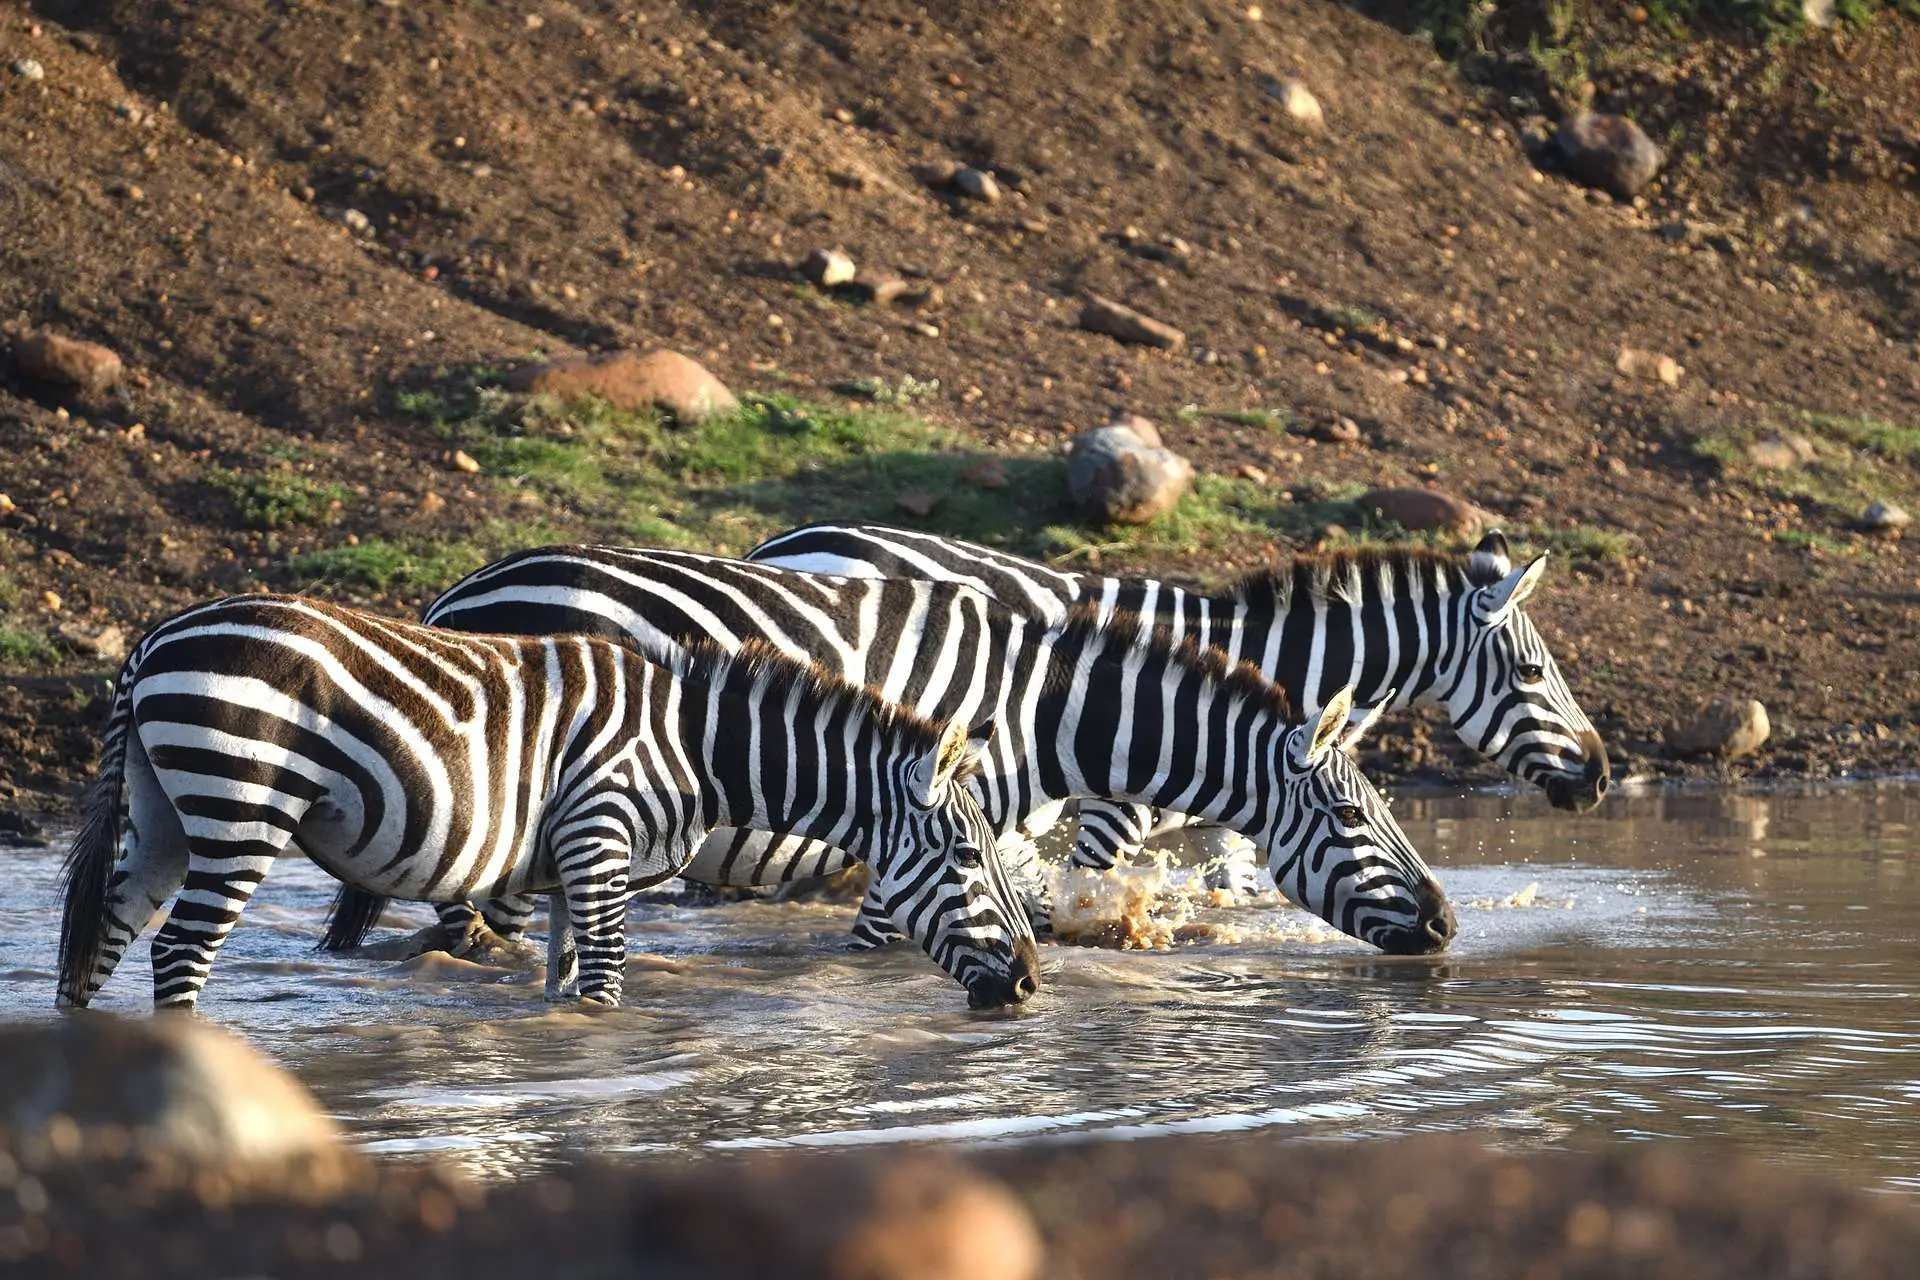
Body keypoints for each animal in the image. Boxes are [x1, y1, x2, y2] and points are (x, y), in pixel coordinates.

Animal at [56, 594, 1036, 1013]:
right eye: (966, 856)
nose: (1030, 983)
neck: (695, 743)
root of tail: (155, 638)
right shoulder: (600, 842)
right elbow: (604, 984)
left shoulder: (568, 868)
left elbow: (564, 986)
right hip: (239, 807)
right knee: (179, 953)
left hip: (164, 817)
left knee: (100, 942)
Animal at [322, 545, 1451, 955]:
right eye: (1353, 816)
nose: (1445, 926)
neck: (1039, 711)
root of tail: (458, 591)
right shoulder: (930, 824)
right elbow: (883, 943)